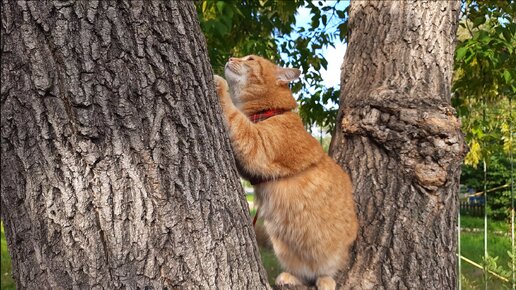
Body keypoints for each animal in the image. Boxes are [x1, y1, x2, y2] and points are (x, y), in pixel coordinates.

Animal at [214, 55, 358, 288]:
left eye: (250, 58)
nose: (231, 57)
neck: (268, 113)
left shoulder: (257, 148)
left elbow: (234, 116)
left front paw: (219, 84)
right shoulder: (250, 168)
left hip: (332, 257)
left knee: (325, 272)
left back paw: (325, 280)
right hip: (283, 248)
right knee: (302, 274)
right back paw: (289, 278)